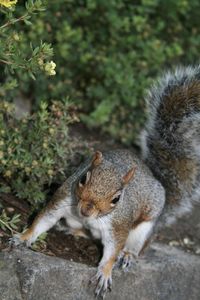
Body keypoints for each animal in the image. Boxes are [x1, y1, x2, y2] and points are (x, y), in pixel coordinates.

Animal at [12, 65, 200, 298]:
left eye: (117, 199)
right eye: (83, 178)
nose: (86, 210)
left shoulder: (118, 226)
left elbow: (112, 250)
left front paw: (105, 272)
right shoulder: (63, 198)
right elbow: (43, 220)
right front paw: (23, 237)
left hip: (144, 229)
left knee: (136, 246)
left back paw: (128, 255)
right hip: (76, 220)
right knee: (85, 232)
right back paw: (73, 230)